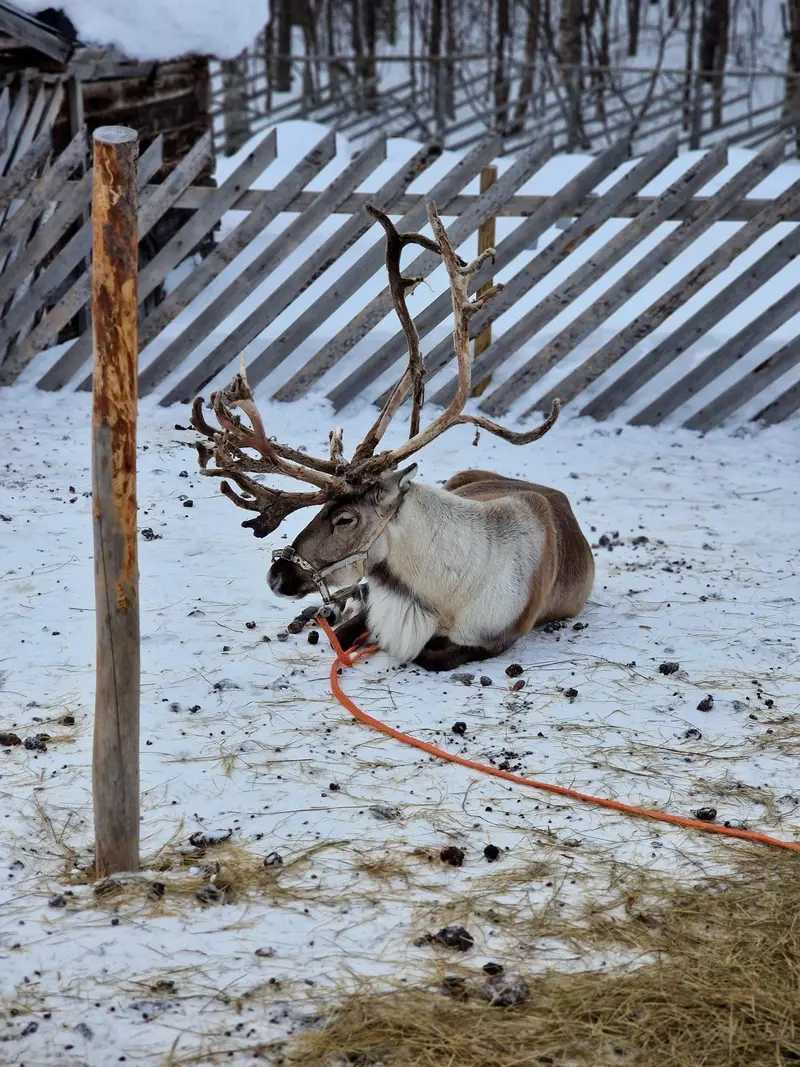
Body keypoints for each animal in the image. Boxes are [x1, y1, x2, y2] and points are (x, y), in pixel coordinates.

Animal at [190, 200, 595, 672]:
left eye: (345, 519)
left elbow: (428, 654)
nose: (277, 574)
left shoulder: (492, 640)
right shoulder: (375, 605)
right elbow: (349, 630)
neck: (440, 595)